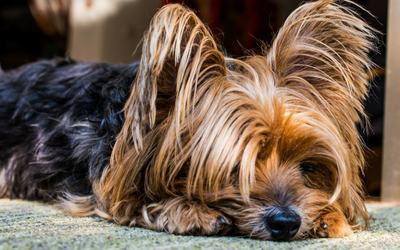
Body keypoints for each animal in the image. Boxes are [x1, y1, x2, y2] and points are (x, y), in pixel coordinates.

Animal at [0, 0, 376, 241]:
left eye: (308, 167)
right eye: (234, 169)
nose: (286, 222)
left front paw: (330, 216)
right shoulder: (107, 186)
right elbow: (134, 202)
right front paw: (189, 211)